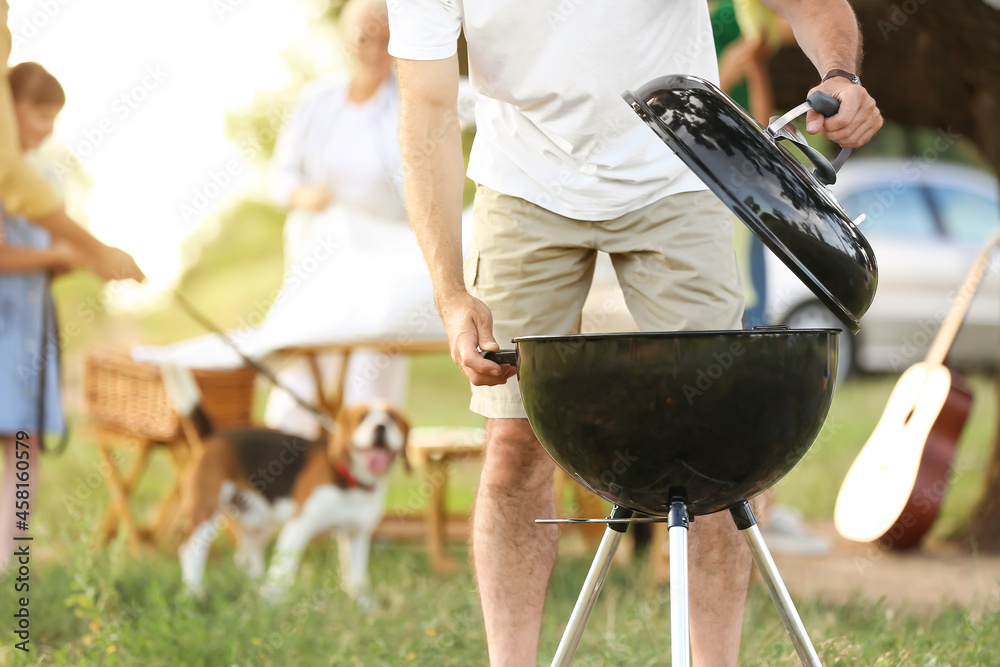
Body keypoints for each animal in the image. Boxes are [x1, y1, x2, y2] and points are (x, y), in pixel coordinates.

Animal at [164, 362, 410, 604]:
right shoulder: (299, 525)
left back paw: (253, 587)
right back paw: (194, 593)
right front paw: (272, 604)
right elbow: (282, 572)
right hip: (208, 511)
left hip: (255, 520)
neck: (351, 481)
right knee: (190, 551)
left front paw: (364, 605)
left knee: (249, 559)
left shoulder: (357, 535)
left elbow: (357, 577)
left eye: (392, 419)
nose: (381, 427)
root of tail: (213, 434)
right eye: (362, 418)